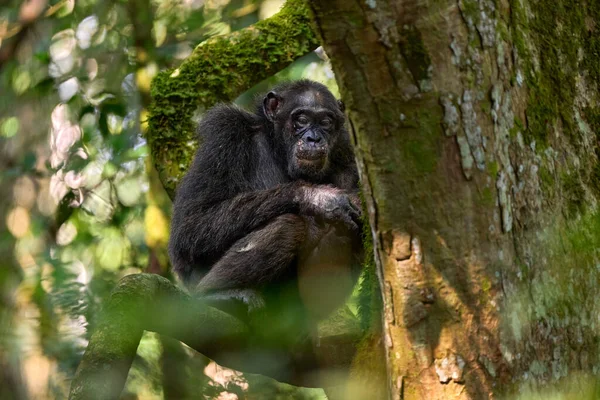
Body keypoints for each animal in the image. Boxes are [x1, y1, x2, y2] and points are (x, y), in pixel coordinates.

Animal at [170, 81, 366, 340]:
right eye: (301, 119)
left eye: (326, 122)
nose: (314, 138)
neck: (278, 149)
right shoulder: (224, 134)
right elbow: (192, 224)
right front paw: (320, 198)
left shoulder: (347, 150)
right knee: (289, 226)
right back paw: (215, 295)